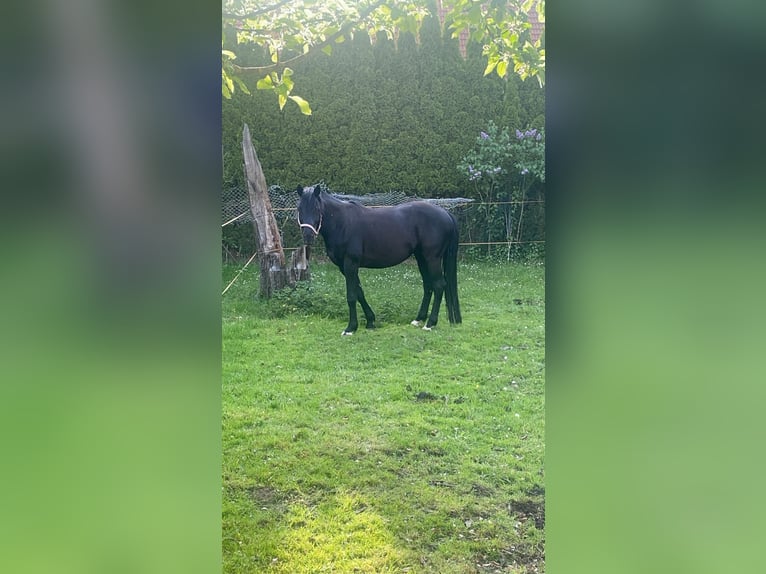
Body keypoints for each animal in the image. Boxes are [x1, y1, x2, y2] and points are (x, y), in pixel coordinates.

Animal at [296, 187, 462, 336]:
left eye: (317, 208)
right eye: (299, 208)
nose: (308, 236)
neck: (342, 223)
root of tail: (445, 213)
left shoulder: (350, 264)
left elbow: (351, 296)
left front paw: (351, 328)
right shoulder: (345, 268)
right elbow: (359, 292)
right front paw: (370, 321)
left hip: (432, 259)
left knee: (439, 285)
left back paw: (430, 324)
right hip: (421, 258)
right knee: (428, 286)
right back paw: (418, 320)